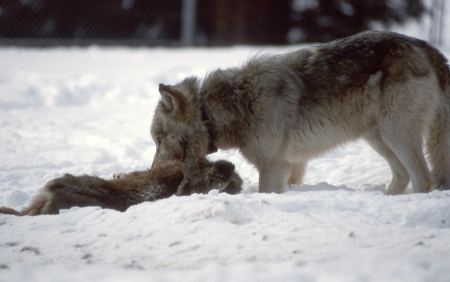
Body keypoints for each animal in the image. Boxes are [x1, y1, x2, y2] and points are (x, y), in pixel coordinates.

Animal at [151, 30, 450, 194]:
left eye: (158, 139)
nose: (152, 170)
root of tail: (426, 46)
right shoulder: (293, 165)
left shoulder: (273, 166)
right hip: (379, 138)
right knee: (402, 177)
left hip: (396, 135)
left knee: (424, 180)